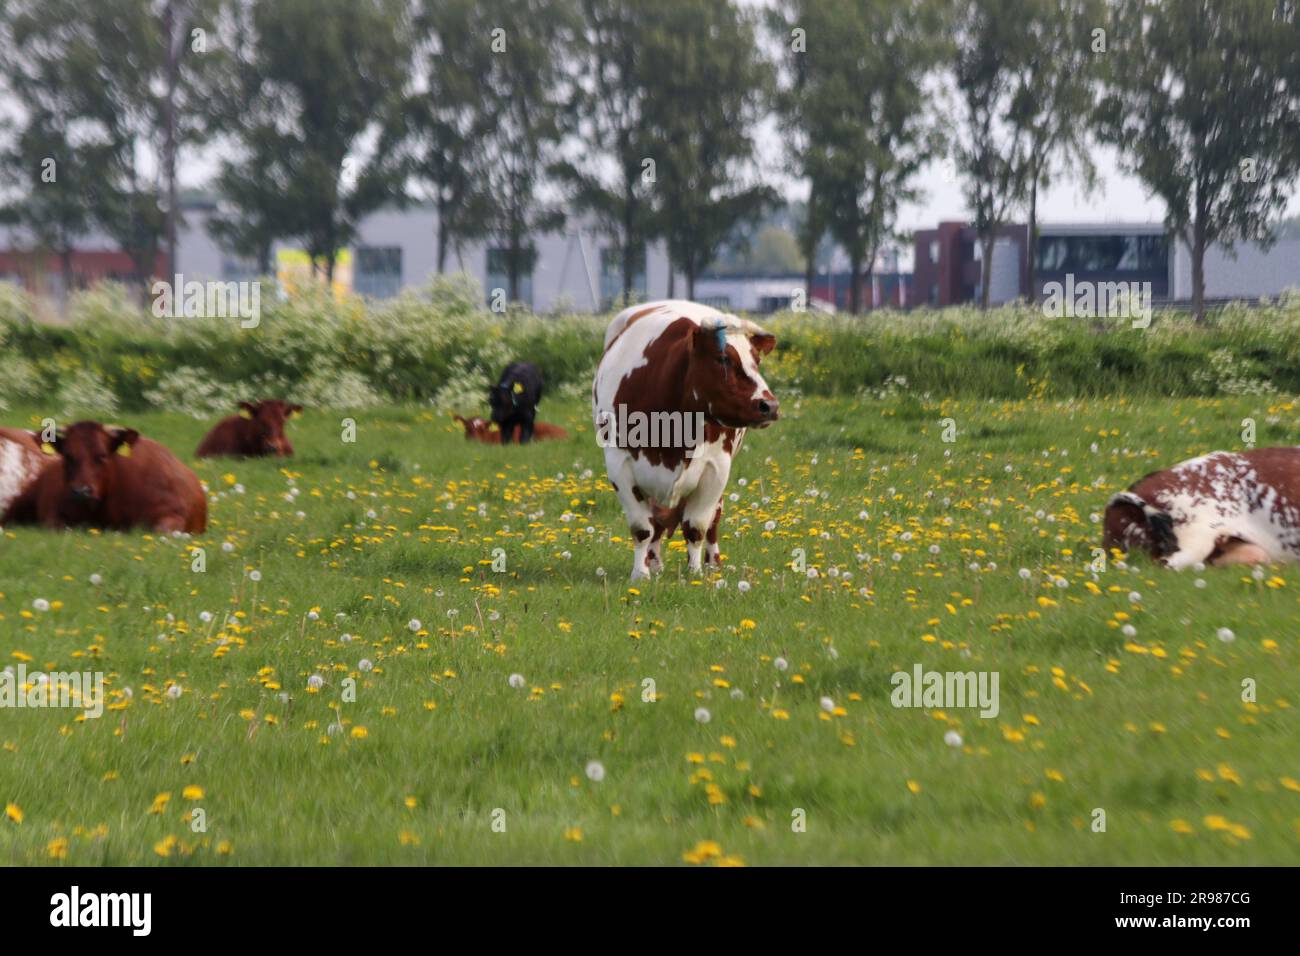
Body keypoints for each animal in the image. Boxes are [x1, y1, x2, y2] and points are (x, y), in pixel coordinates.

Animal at [595, 299, 774, 582]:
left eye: (756, 361)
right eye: (723, 358)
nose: (770, 405)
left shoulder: (716, 467)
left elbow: (697, 526)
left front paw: (696, 572)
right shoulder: (619, 464)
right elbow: (642, 528)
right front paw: (641, 574)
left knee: (713, 519)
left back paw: (712, 563)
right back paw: (655, 563)